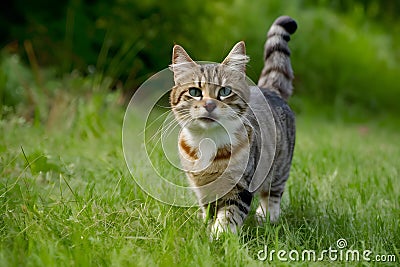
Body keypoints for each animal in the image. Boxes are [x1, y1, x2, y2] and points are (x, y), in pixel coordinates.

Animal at [169, 16, 296, 239]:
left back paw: (267, 217)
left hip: (279, 167)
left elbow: (230, 214)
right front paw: (206, 226)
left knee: (272, 194)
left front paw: (220, 236)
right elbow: (209, 209)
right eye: (194, 92)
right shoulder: (202, 186)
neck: (208, 143)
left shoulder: (241, 185)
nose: (209, 105)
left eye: (224, 91)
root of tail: (269, 89)